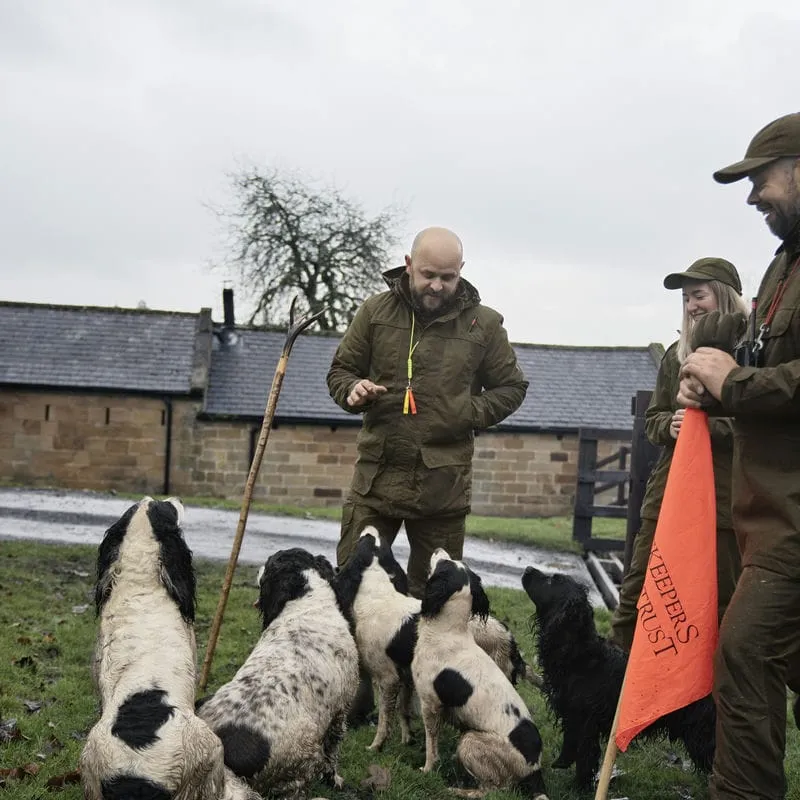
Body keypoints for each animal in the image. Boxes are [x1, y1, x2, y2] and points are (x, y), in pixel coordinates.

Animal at [197, 552, 360, 800]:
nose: (258, 568)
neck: (307, 602)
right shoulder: (340, 712)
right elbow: (333, 754)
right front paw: (335, 780)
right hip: (303, 762)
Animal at [332, 528, 536, 752]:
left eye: (365, 539)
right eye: (379, 542)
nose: (371, 528)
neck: (378, 594)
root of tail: (507, 634)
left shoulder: (388, 678)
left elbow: (385, 720)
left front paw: (376, 746)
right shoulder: (407, 676)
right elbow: (403, 711)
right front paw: (407, 739)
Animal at [412, 552, 552, 800]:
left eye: (443, 564)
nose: (438, 550)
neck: (447, 631)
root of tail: (535, 769)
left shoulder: (430, 704)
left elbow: (431, 745)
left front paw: (427, 769)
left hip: (470, 742)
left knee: (495, 789)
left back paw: (459, 790)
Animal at [520, 564, 716, 792]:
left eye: (552, 580)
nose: (527, 568)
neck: (580, 655)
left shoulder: (586, 722)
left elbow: (585, 756)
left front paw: (580, 787)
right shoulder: (572, 714)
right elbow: (571, 742)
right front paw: (563, 763)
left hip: (702, 734)